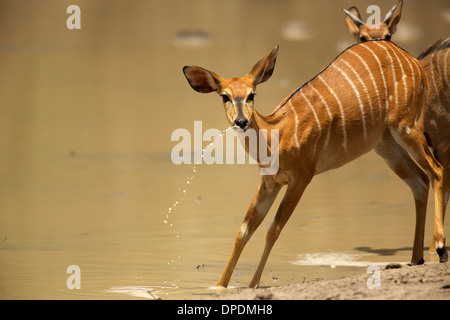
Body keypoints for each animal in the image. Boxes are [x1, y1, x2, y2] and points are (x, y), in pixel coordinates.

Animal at [181, 39, 444, 288]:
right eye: (224, 96)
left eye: (251, 94)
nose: (241, 121)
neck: (276, 134)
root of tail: (414, 62)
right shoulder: (270, 182)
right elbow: (244, 230)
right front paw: (218, 287)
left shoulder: (301, 177)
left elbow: (273, 229)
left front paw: (253, 284)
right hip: (385, 144)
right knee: (419, 181)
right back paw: (416, 258)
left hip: (405, 126)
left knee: (437, 170)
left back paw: (440, 247)